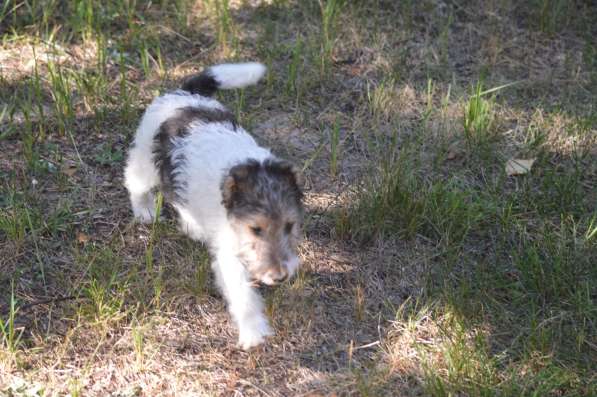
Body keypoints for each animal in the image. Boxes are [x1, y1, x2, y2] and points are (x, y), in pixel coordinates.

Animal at [124, 62, 302, 350]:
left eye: (289, 226)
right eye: (255, 229)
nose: (279, 276)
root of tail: (184, 93)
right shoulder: (229, 254)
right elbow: (243, 295)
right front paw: (253, 332)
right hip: (144, 160)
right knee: (134, 181)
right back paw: (144, 211)